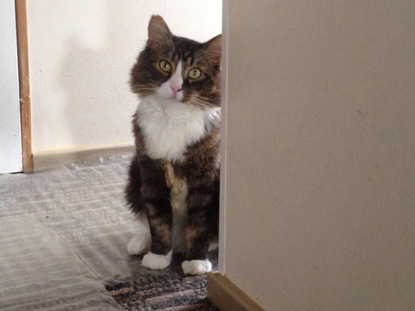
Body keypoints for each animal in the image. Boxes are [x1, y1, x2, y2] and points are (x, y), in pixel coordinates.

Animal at [126, 15, 221, 276]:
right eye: (165, 66)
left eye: (195, 72)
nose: (176, 87)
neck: (173, 118)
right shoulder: (150, 170)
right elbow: (157, 220)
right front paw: (158, 255)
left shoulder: (206, 177)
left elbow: (199, 223)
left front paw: (196, 261)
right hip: (133, 174)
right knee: (142, 218)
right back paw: (140, 243)